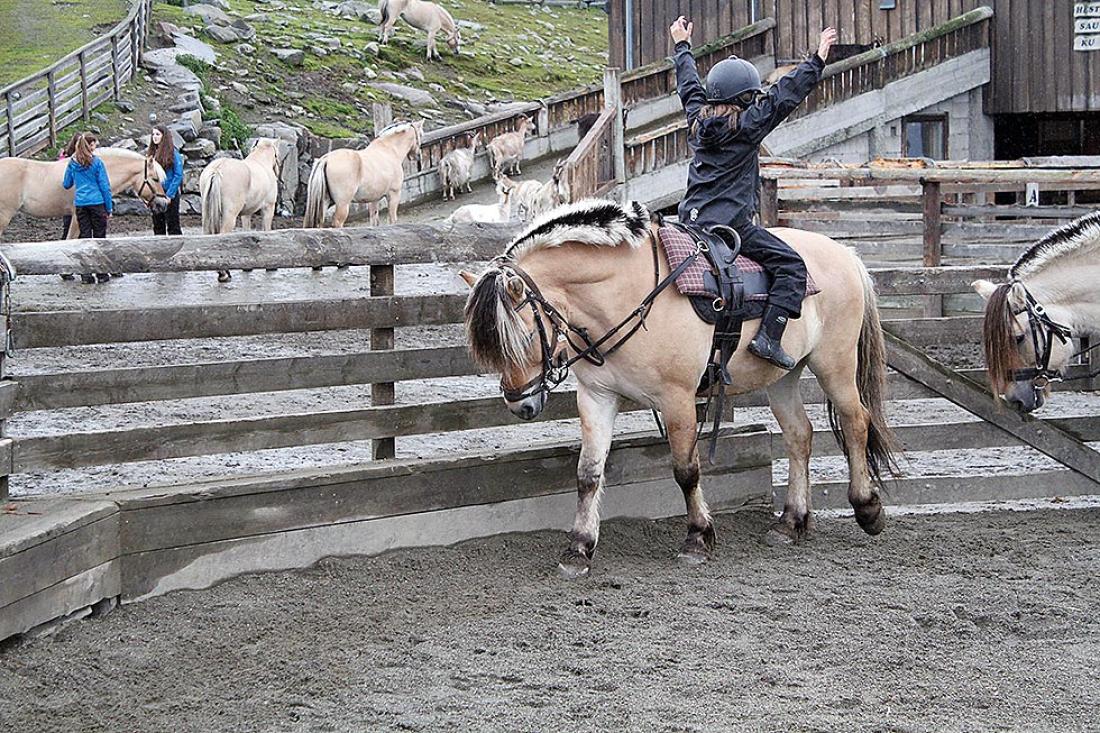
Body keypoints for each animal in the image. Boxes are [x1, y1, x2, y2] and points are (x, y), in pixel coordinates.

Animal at [200, 138, 286, 283]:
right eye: (276, 154)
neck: (261, 163)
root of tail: (217, 169)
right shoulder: (268, 208)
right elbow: (266, 230)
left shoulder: (246, 214)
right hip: (229, 217)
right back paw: (223, 273)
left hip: (207, 214)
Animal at [461, 200, 899, 577]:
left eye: (521, 338)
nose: (520, 405)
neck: (628, 293)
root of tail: (845, 254)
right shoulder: (597, 398)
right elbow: (588, 472)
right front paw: (580, 548)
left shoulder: (678, 399)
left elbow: (686, 471)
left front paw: (698, 538)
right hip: (784, 376)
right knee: (799, 435)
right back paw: (791, 522)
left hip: (835, 364)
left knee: (856, 422)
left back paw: (867, 509)